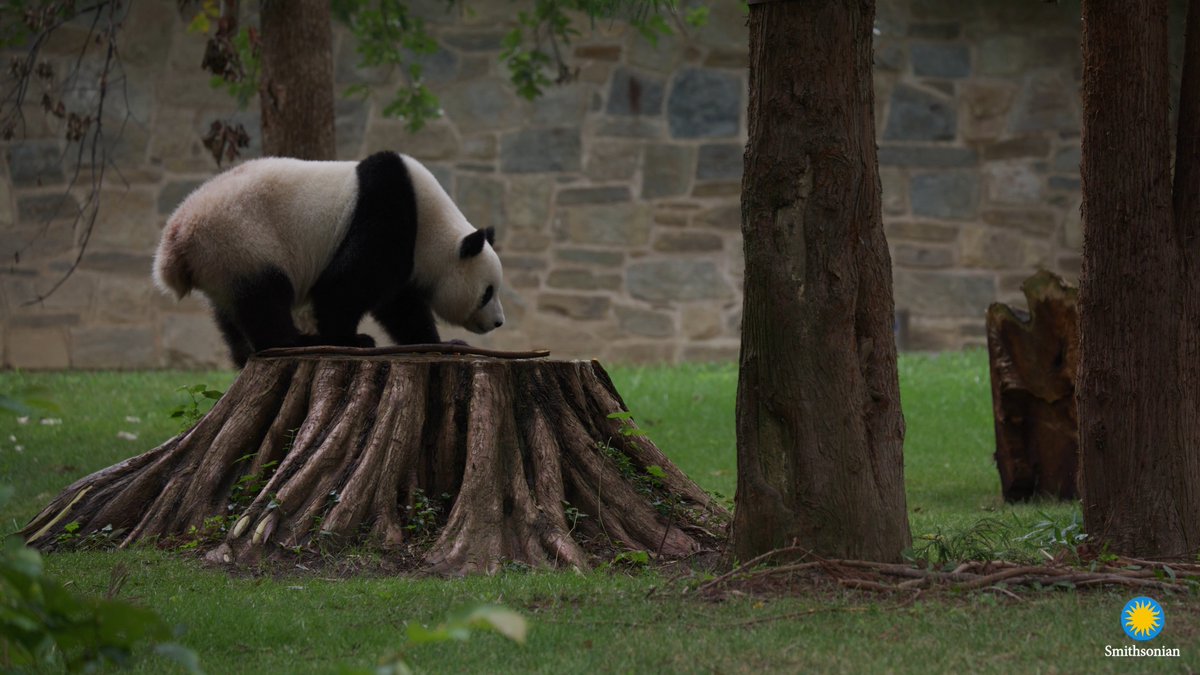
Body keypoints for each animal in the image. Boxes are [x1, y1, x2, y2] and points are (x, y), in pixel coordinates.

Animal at [153, 150, 505, 367]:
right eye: (487, 292)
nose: (499, 322)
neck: (432, 225)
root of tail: (175, 239)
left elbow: (401, 307)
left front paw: (445, 344)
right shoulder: (387, 213)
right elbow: (345, 285)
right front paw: (352, 339)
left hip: (221, 264)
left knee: (231, 313)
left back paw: (246, 352)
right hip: (241, 240)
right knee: (265, 297)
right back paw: (293, 343)